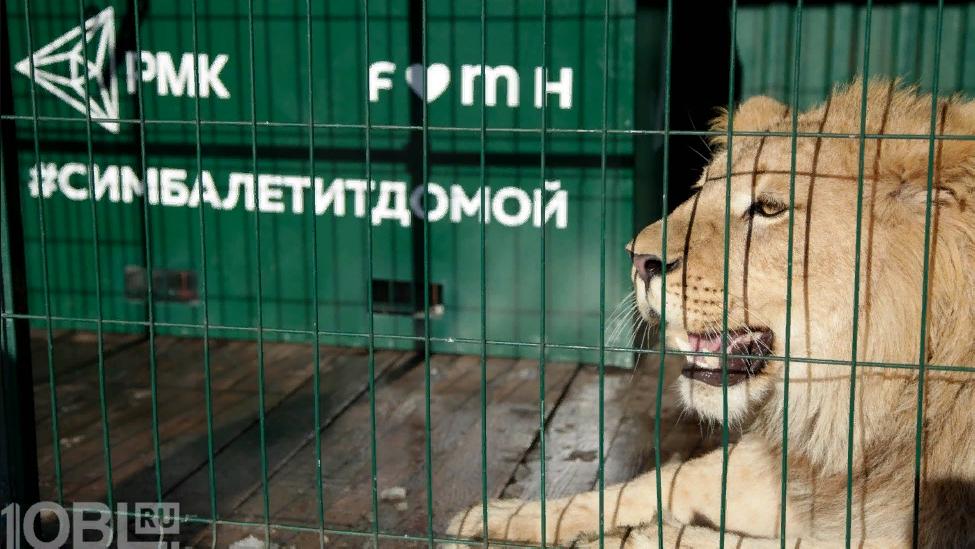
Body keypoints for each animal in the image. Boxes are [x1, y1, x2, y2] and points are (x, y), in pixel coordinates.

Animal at [446, 79, 975, 548]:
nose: (639, 260)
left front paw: (631, 537)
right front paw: (501, 516)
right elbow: (661, 478)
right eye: (701, 189)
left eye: (769, 208)